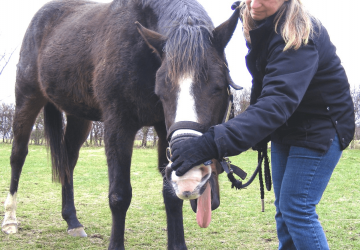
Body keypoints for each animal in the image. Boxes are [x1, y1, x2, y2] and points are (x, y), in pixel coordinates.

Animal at [2, 0, 240, 248]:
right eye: (161, 91)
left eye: (219, 86)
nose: (191, 178)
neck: (143, 51)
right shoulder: (118, 126)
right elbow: (119, 195)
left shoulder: (165, 130)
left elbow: (171, 195)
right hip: (27, 99)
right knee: (18, 155)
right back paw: (10, 220)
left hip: (79, 117)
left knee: (68, 161)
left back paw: (72, 221)